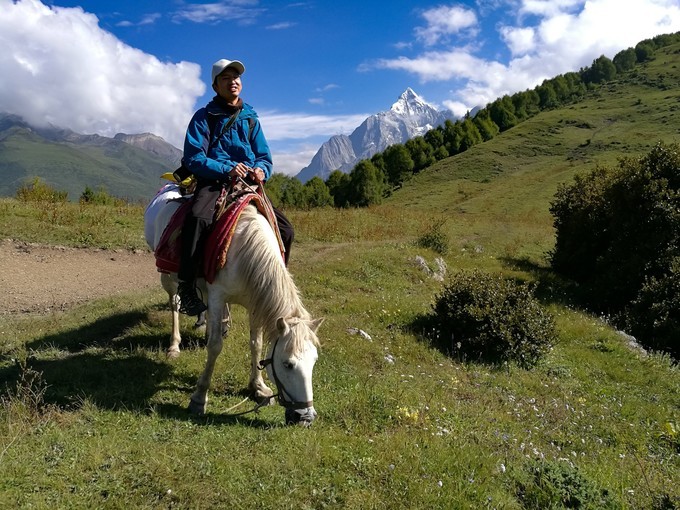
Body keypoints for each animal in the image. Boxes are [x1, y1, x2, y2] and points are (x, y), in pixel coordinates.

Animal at [144, 184, 324, 426]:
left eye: (314, 361)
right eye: (287, 364)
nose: (305, 418)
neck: (244, 248)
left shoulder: (255, 301)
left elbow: (256, 343)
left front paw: (259, 388)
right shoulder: (218, 295)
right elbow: (215, 346)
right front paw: (199, 397)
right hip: (169, 278)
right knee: (175, 305)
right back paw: (174, 346)